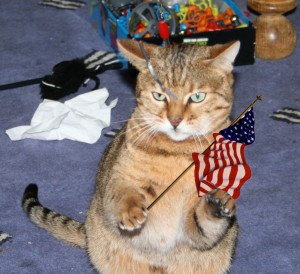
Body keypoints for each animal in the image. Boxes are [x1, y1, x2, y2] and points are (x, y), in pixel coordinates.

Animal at [21, 39, 241, 274]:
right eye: (159, 95)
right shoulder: (118, 178)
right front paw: (130, 210)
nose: (174, 120)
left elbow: (204, 224)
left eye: (197, 97)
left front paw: (217, 204)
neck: (177, 152)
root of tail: (87, 230)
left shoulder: (198, 226)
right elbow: (123, 191)